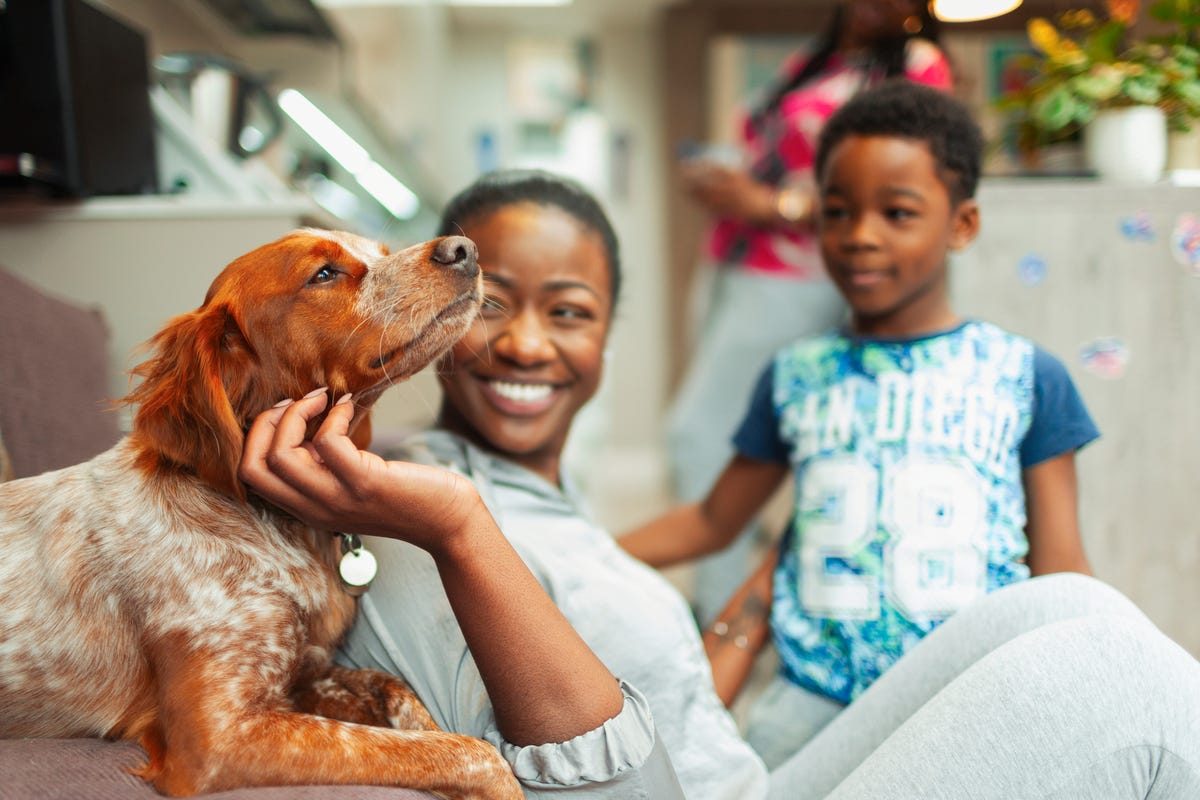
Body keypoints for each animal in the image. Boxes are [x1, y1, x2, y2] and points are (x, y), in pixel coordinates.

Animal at [1, 230, 525, 800]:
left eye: (382, 252)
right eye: (323, 274)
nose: (464, 250)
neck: (273, 524)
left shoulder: (310, 671)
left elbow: (401, 698)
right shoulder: (217, 739)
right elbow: (473, 754)